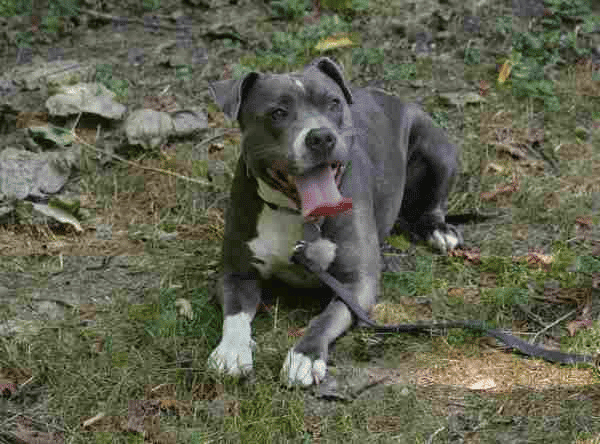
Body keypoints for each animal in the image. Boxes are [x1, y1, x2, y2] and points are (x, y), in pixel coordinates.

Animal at [209, 58, 462, 386]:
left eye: (333, 103)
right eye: (278, 112)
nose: (321, 137)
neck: (297, 214)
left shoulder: (356, 283)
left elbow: (325, 318)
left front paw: (305, 355)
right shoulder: (236, 274)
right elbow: (235, 315)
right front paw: (232, 350)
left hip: (437, 147)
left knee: (434, 202)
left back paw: (438, 229)